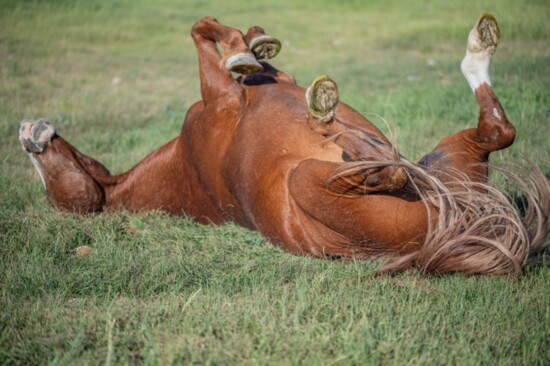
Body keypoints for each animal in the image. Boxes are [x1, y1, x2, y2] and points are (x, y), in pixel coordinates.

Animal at [18, 14, 550, 274]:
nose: (28, 132)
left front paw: (255, 44)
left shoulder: (247, 88)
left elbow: (226, 37)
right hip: (314, 180)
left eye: (49, 178)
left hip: (451, 162)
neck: (184, 167)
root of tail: (453, 225)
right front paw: (243, 51)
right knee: (405, 163)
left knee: (495, 130)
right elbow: (206, 33)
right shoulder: (219, 97)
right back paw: (342, 128)